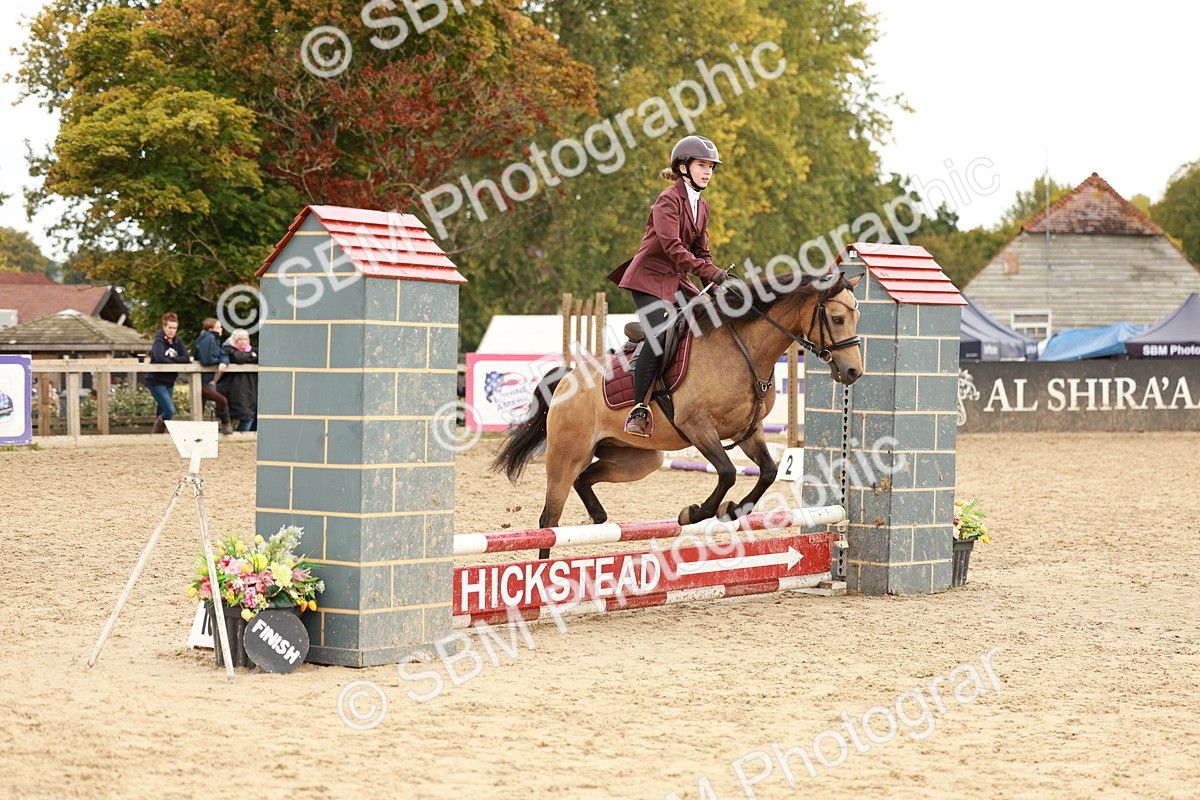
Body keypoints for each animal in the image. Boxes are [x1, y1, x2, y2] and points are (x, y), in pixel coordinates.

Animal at [491, 271, 864, 545]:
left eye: (857, 316)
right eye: (836, 318)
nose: (853, 372)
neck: (745, 350)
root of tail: (567, 379)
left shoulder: (748, 431)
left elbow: (770, 471)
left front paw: (733, 509)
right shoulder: (698, 427)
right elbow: (727, 472)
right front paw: (696, 512)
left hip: (637, 459)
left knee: (584, 481)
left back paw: (598, 518)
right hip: (567, 455)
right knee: (549, 520)